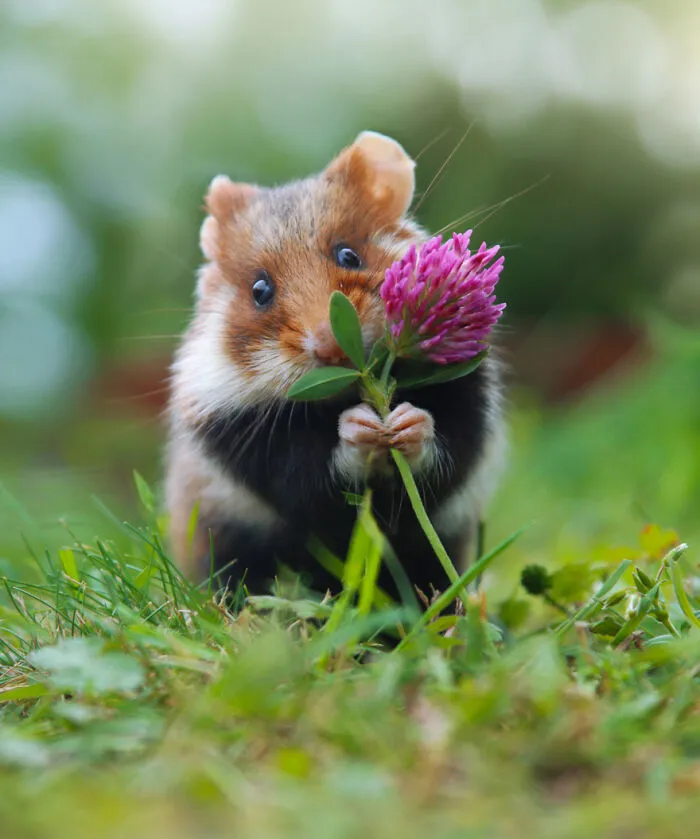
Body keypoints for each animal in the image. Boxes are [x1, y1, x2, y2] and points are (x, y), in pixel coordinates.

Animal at [164, 131, 506, 601]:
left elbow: (444, 445)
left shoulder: (470, 402)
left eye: (348, 255)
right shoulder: (248, 441)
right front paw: (360, 427)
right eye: (259, 290)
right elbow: (310, 472)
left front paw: (404, 422)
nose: (331, 347)